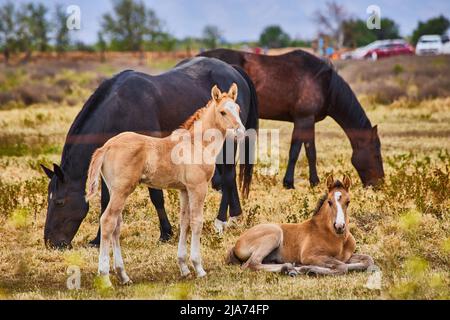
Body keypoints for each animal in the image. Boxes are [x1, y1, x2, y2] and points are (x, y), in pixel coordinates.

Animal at [43, 57, 260, 248]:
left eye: (60, 202)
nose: (50, 243)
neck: (120, 107)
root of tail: (233, 70)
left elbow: (156, 197)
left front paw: (166, 233)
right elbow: (107, 201)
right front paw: (98, 239)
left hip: (228, 143)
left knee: (229, 176)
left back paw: (221, 221)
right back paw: (235, 216)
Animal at [85, 84, 244, 286]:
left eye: (238, 109)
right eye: (223, 112)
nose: (241, 132)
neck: (197, 144)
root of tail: (106, 147)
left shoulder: (184, 190)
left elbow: (184, 222)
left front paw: (184, 268)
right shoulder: (198, 187)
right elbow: (197, 222)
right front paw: (199, 268)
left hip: (116, 191)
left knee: (116, 225)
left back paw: (123, 275)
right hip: (122, 191)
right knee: (107, 221)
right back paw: (105, 277)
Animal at [200, 49, 384, 189]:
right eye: (376, 154)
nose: (379, 183)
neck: (324, 84)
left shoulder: (308, 121)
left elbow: (309, 151)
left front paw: (313, 181)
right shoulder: (303, 119)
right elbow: (297, 151)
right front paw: (291, 182)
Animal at [227, 174, 374, 276]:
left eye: (348, 202)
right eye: (329, 202)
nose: (339, 226)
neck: (337, 238)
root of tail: (236, 243)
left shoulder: (346, 257)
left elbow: (367, 260)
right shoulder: (310, 255)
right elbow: (342, 266)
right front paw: (307, 269)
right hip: (274, 234)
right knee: (251, 264)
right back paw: (288, 268)